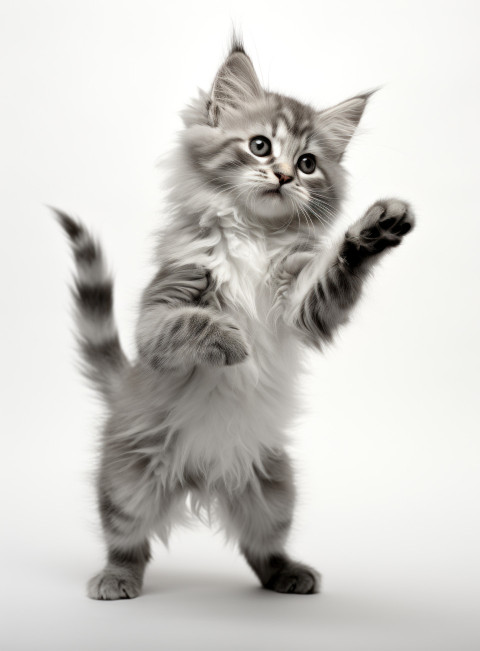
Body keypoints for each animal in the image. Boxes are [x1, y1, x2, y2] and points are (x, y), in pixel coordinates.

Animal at [56, 37, 414, 600]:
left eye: (308, 163)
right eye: (261, 146)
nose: (284, 175)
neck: (252, 235)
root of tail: (202, 479)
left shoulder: (303, 303)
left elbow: (336, 268)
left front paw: (375, 230)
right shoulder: (161, 310)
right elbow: (185, 324)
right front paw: (232, 341)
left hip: (274, 487)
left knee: (261, 547)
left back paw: (290, 573)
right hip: (128, 480)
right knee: (127, 541)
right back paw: (116, 578)